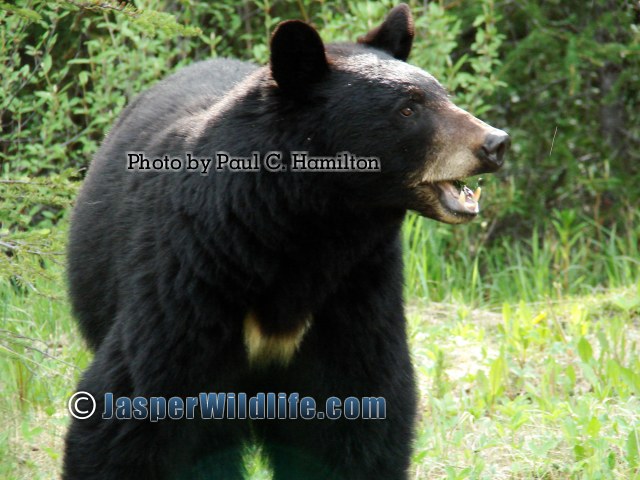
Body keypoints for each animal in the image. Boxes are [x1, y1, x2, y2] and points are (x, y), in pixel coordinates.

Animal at [62, 4, 508, 480]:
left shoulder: (357, 289)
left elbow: (360, 412)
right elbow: (131, 408)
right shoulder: (190, 274)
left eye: (444, 93)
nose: (495, 143)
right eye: (408, 108)